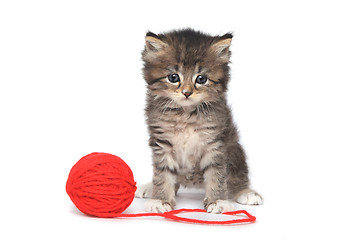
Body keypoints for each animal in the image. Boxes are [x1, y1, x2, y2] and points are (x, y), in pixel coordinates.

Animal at [135, 29, 262, 213]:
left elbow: (217, 174)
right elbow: (162, 173)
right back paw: (150, 187)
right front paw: (160, 200)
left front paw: (217, 201)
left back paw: (246, 192)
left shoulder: (215, 143)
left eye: (201, 79)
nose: (187, 92)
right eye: (173, 77)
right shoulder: (161, 142)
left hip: (235, 150)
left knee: (237, 176)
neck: (185, 114)